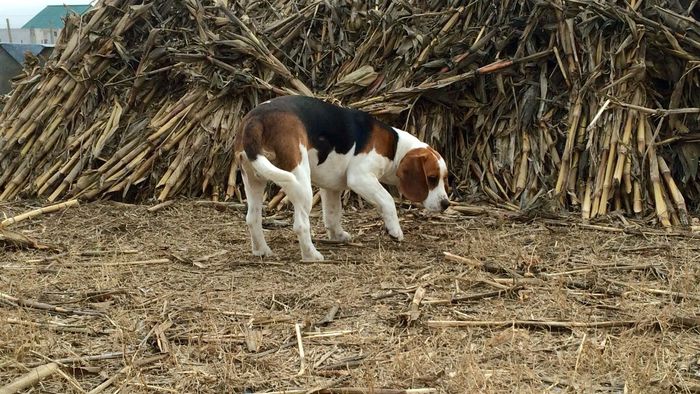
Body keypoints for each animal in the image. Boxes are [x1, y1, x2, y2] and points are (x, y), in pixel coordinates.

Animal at [234, 95, 448, 262]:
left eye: (443, 178)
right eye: (432, 178)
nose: (446, 204)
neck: (395, 147)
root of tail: (256, 118)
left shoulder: (331, 187)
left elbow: (332, 214)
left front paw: (337, 235)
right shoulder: (360, 178)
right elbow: (387, 200)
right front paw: (395, 231)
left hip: (252, 179)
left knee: (252, 218)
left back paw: (262, 251)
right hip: (300, 180)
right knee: (301, 224)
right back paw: (312, 256)